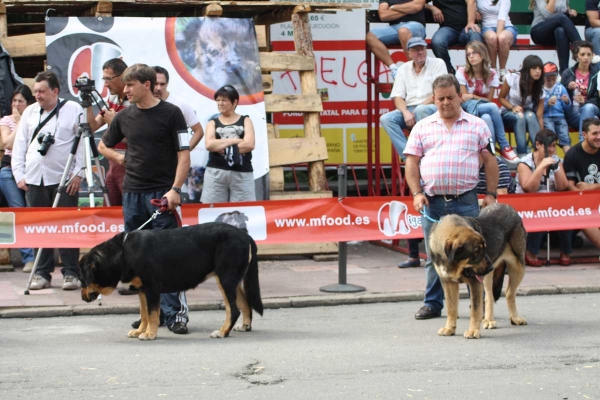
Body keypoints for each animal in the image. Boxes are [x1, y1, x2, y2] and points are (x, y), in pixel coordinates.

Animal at [77, 222, 262, 340]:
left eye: (82, 280)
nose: (82, 297)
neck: (123, 253)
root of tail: (244, 235)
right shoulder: (141, 289)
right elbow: (144, 314)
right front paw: (140, 330)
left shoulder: (152, 288)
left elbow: (152, 314)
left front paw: (149, 334)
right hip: (232, 280)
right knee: (245, 304)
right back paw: (245, 326)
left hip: (225, 279)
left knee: (234, 310)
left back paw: (222, 332)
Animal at [432, 203, 524, 338]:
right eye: (475, 253)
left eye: (485, 249)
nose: (491, 267)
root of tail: (507, 207)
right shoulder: (448, 282)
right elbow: (451, 307)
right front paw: (449, 328)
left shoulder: (474, 283)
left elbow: (475, 309)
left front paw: (473, 331)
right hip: (487, 277)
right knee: (489, 295)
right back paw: (489, 320)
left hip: (518, 268)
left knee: (509, 293)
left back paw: (515, 318)